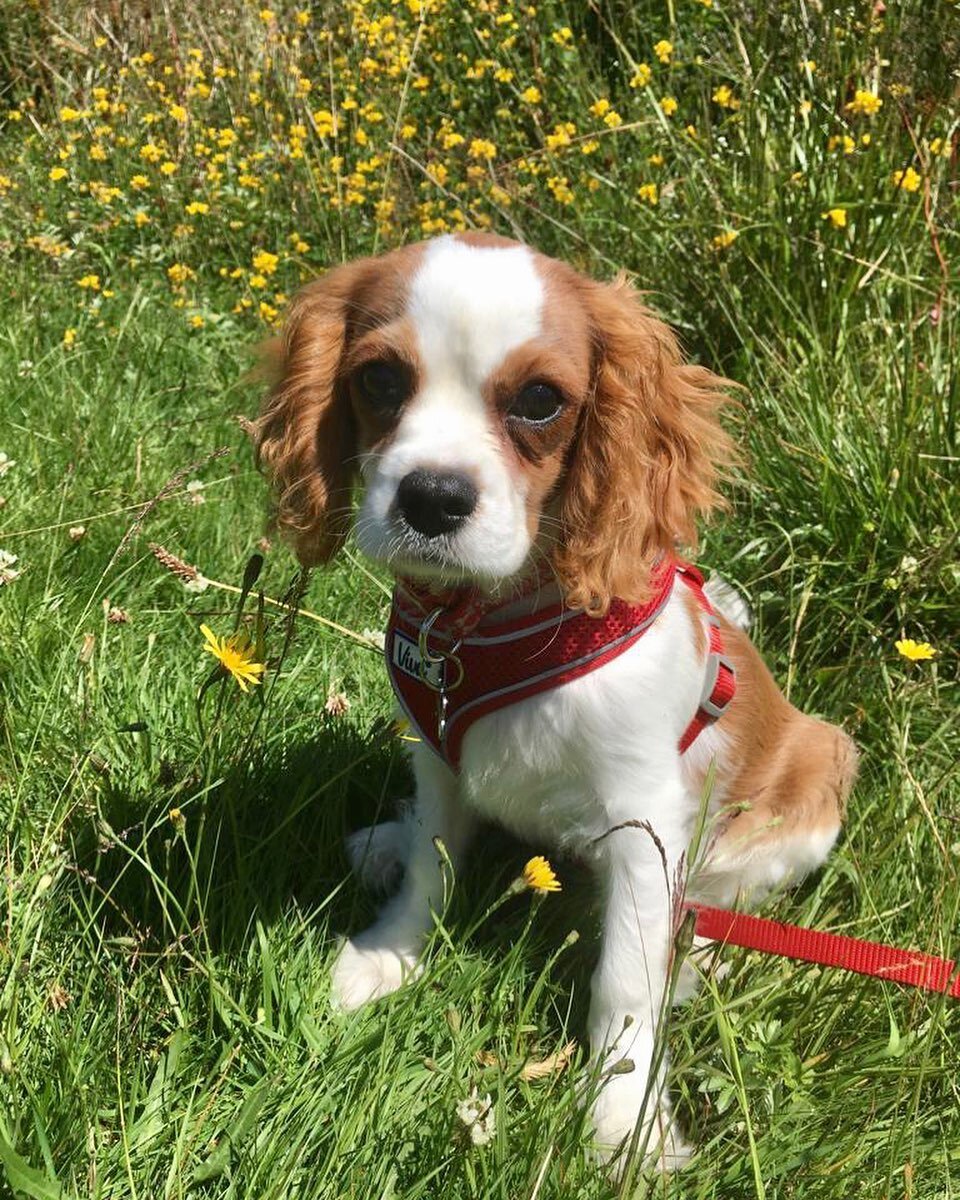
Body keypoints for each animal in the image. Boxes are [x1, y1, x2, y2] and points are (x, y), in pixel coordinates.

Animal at [253, 229, 854, 1166]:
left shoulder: (645, 824)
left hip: (819, 772)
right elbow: (432, 864)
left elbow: (626, 985)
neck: (482, 628)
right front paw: (391, 956)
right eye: (379, 380)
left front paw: (623, 1120)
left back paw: (702, 955)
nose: (432, 497)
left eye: (540, 400)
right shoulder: (438, 758)